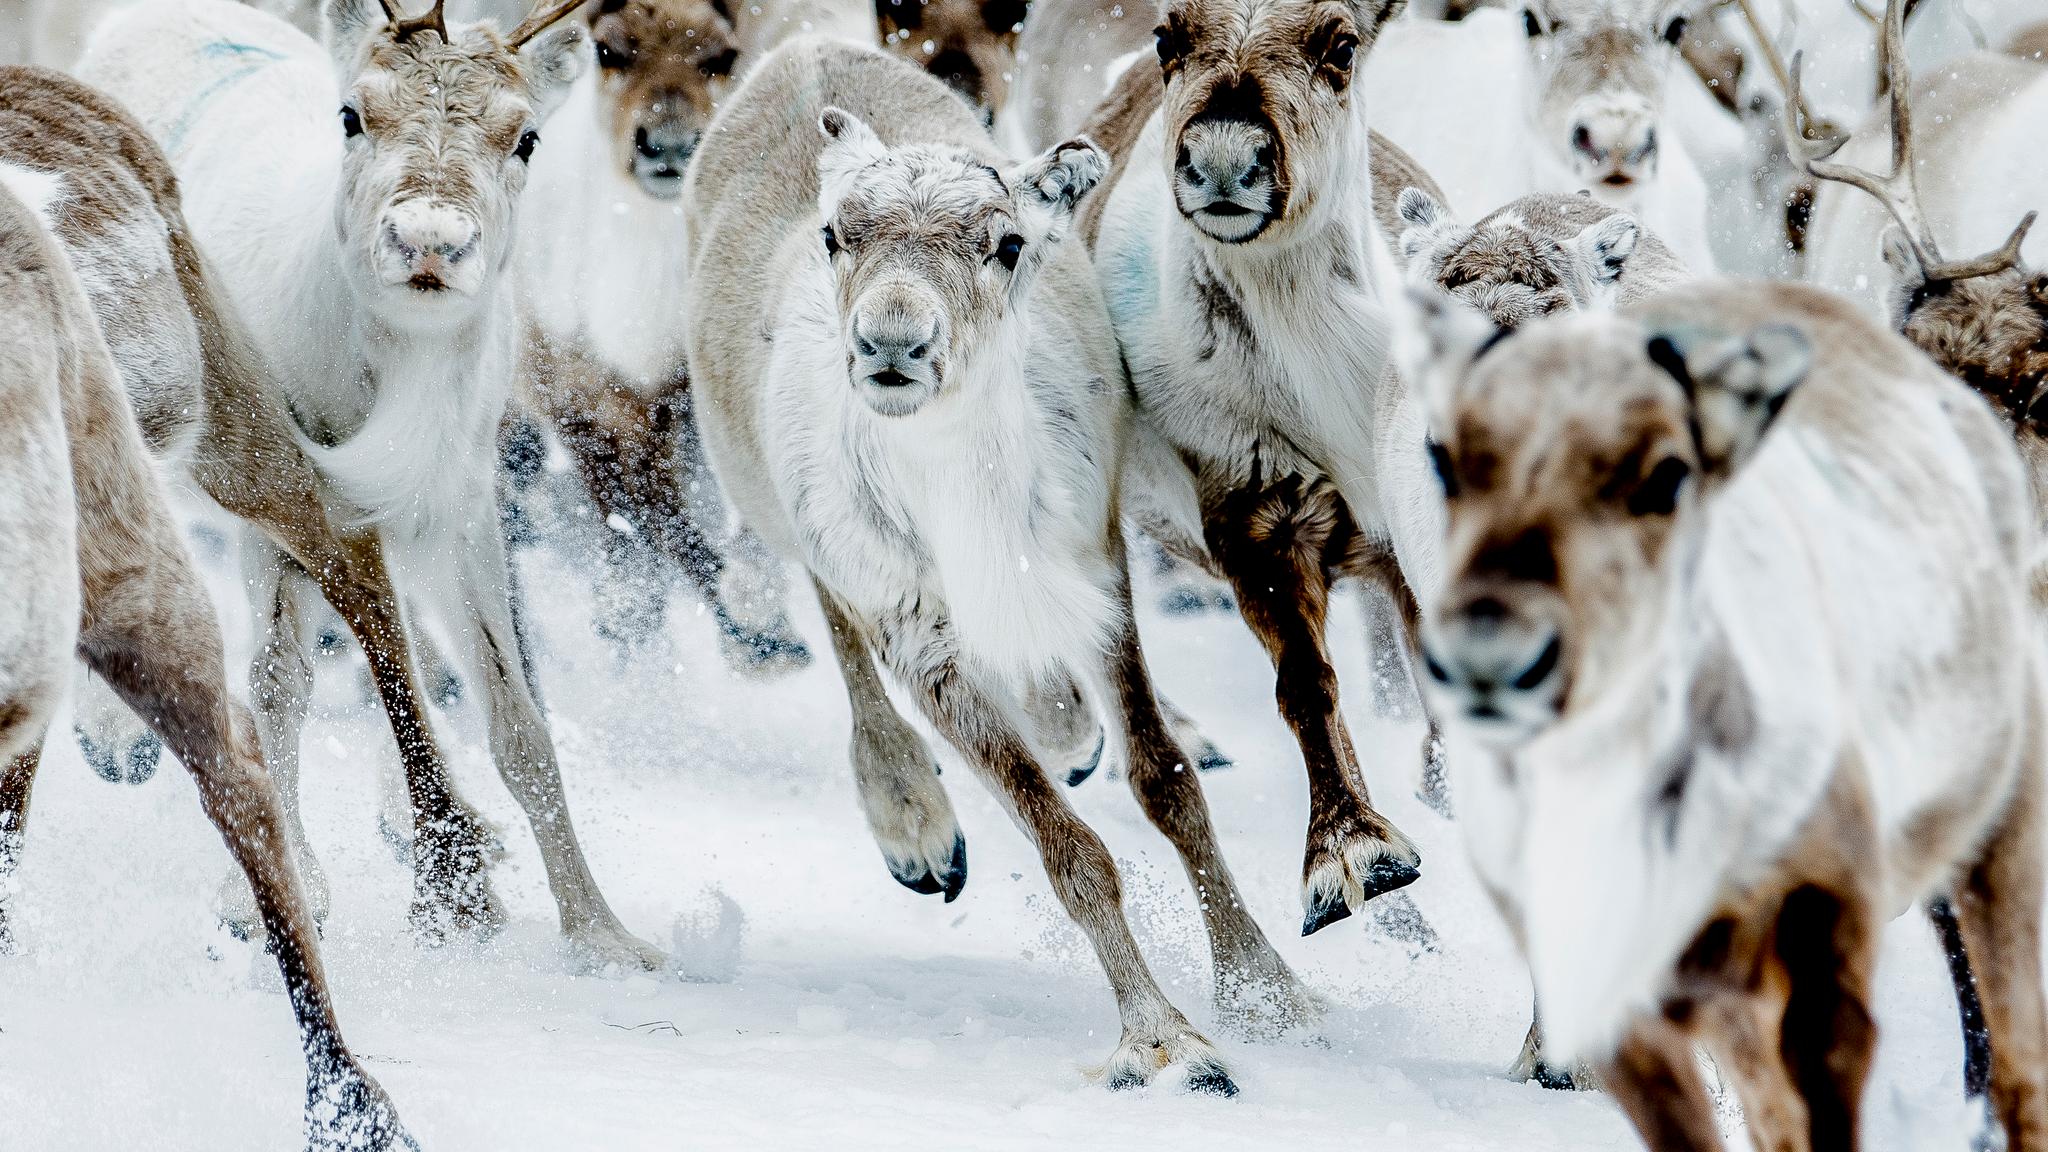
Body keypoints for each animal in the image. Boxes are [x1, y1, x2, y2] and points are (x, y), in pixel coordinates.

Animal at [75, 0, 669, 971]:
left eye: (527, 136)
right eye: (354, 115)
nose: (429, 240)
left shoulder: (459, 510)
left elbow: (516, 719)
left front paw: (602, 933)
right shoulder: (276, 500)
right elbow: (279, 685)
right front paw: (269, 902)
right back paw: (113, 737)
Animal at [510, 0, 814, 672]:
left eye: (721, 56)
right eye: (609, 50)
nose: (669, 146)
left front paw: (762, 621)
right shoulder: (579, 391)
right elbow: (649, 517)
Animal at [686, 35, 1316, 1088]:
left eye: (1008, 243)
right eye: (837, 236)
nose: (892, 344)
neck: (969, 495)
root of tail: (802, 50)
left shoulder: (1096, 572)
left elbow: (1170, 787)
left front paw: (1268, 988)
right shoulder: (920, 637)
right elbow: (1070, 851)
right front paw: (1164, 1041)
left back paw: (1068, 734)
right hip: (788, 518)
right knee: (843, 645)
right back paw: (914, 823)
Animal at [1409, 275, 2048, 1151]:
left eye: (1667, 474)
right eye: (1443, 457)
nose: (1491, 655)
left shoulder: (1825, 926)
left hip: (1994, 833)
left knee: (2016, 1064)